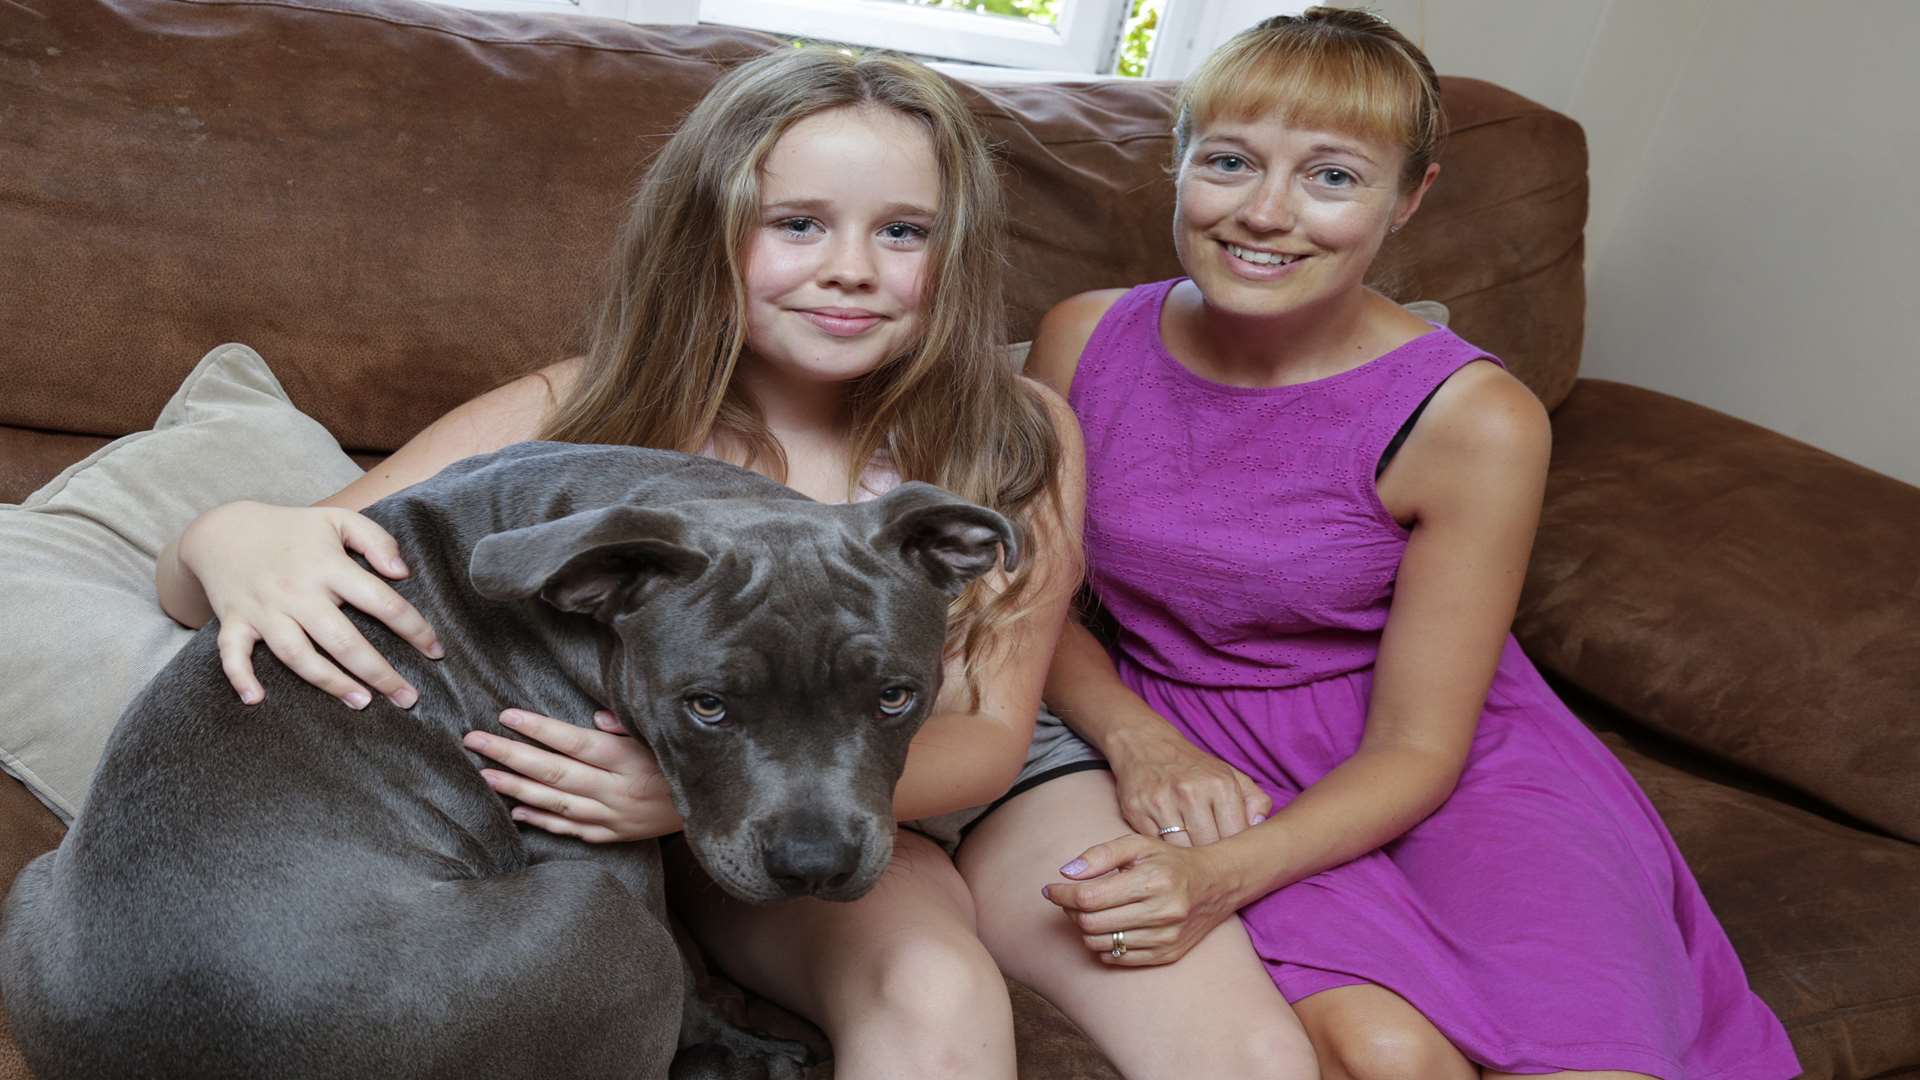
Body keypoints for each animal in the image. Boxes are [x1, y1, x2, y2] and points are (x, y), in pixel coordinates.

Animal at [0, 440, 1021, 1076]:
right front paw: (750, 1048)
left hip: (31, 890)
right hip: (596, 921)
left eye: (896, 697)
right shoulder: (613, 868)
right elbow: (694, 991)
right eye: (706, 706)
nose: (814, 864)